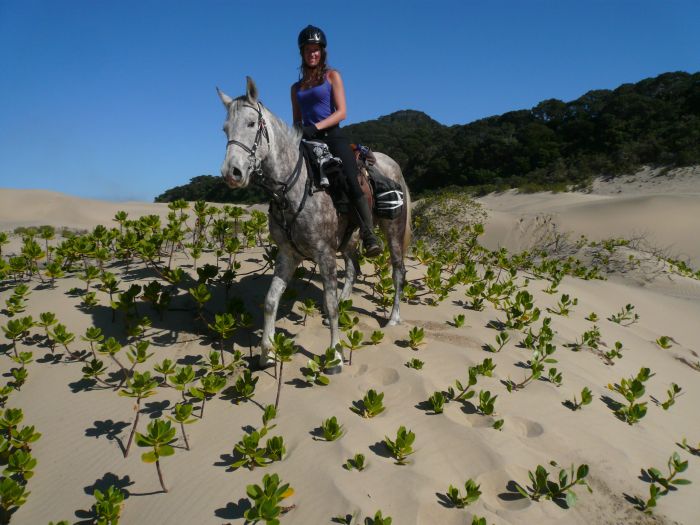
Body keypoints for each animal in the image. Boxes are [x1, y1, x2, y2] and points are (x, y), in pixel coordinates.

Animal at [216, 79, 408, 372]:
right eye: (225, 129)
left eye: (251, 123)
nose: (231, 173)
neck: (293, 187)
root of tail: (391, 163)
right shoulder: (287, 255)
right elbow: (270, 301)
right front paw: (266, 353)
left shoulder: (324, 253)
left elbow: (329, 304)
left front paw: (335, 356)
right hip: (350, 239)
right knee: (353, 269)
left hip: (393, 230)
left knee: (397, 271)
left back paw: (393, 318)